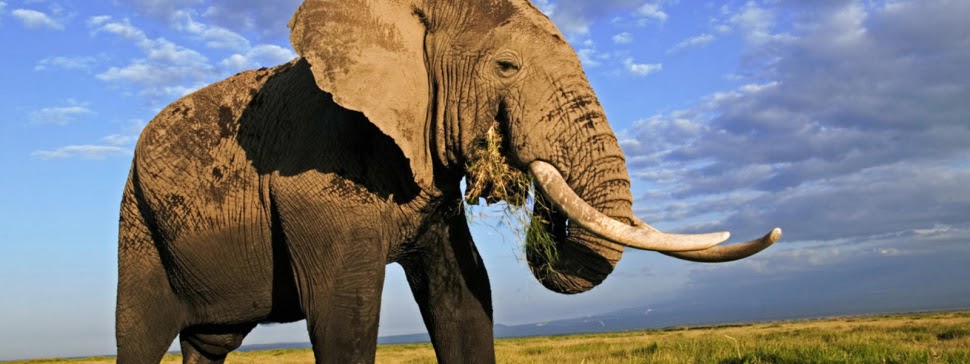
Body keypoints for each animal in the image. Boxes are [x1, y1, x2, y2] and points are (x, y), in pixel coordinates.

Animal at [115, 0, 780, 362]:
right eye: (506, 66)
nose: (508, 152)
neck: (401, 23)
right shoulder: (315, 177)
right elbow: (345, 309)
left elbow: (464, 295)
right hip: (136, 224)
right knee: (139, 335)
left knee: (208, 346)